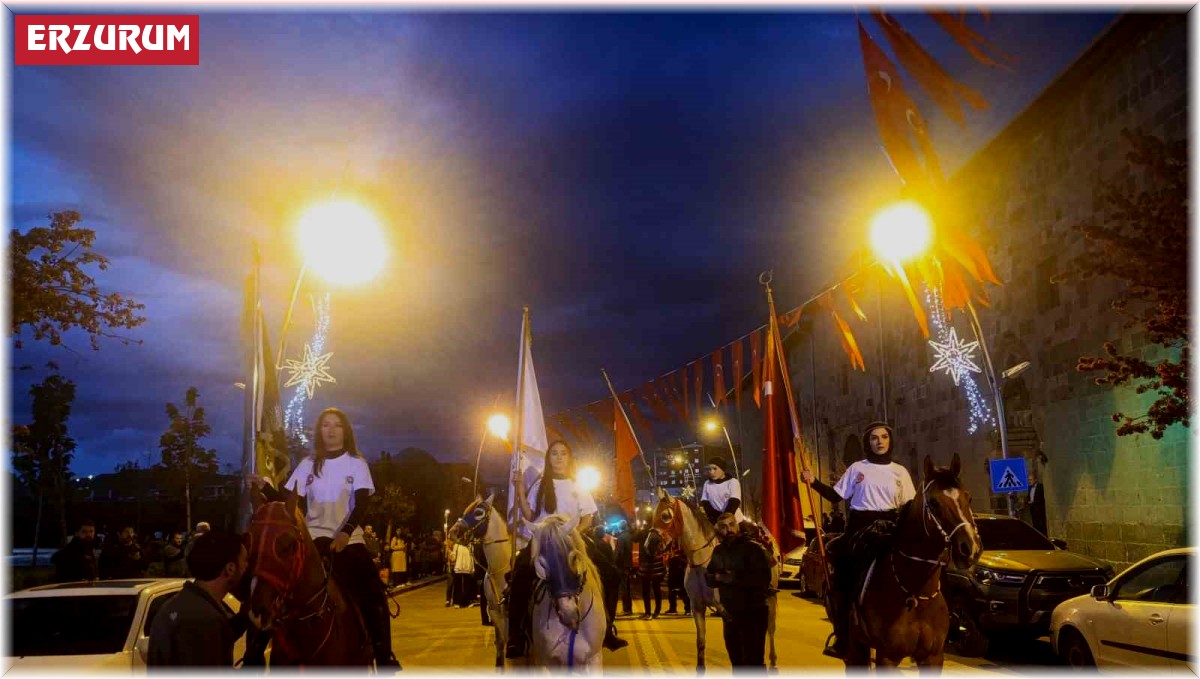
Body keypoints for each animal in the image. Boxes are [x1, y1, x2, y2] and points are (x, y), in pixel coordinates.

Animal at [652, 491, 782, 671]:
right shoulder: (697, 607)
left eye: (665, 516)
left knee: (769, 628)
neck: (702, 562)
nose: (649, 544)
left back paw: (773, 659)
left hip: (771, 597)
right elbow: (701, 642)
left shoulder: (726, 609)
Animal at [835, 455, 984, 671]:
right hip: (856, 645)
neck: (915, 592)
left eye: (968, 497)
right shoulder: (888, 657)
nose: (970, 548)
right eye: (933, 502)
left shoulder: (933, 657)